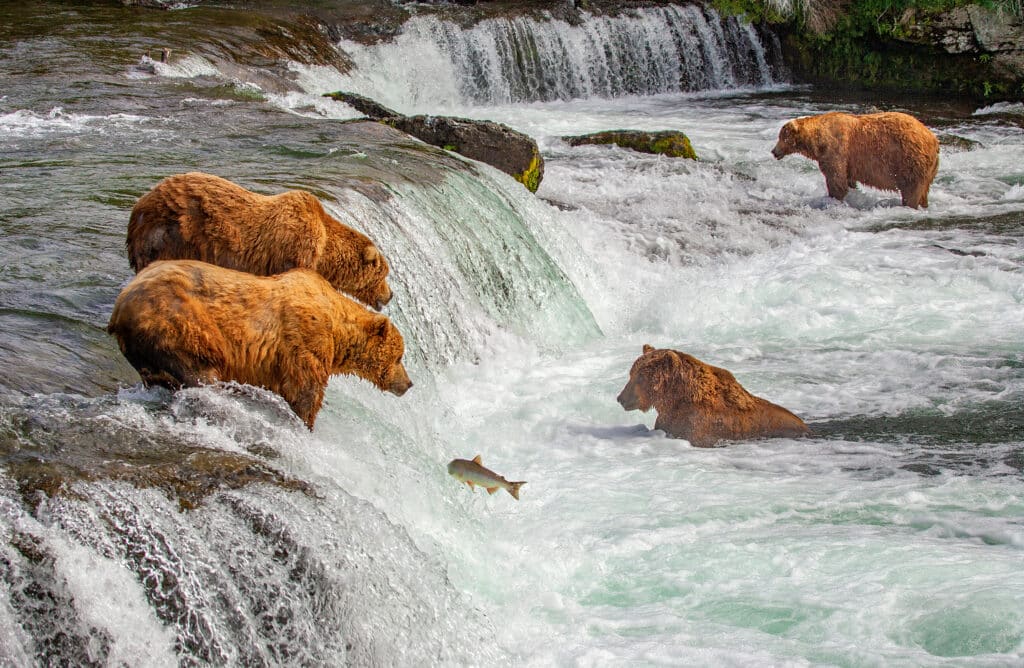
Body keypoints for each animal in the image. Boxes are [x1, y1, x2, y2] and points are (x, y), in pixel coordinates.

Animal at [107, 259, 412, 430]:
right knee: (198, 371)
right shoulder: (304, 341)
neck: (338, 333)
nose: (408, 383)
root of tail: (120, 308)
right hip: (179, 325)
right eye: (399, 356)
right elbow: (305, 393)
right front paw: (306, 424)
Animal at [126, 172, 393, 310]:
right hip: (177, 233)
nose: (389, 295)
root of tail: (140, 205)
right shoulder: (294, 248)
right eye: (383, 275)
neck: (325, 250)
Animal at [771, 111, 939, 209]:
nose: (774, 151)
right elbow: (848, 180)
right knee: (923, 192)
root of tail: (933, 139)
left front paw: (833, 197)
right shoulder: (848, 163)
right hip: (926, 169)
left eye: (781, 137)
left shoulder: (836, 150)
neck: (817, 142)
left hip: (910, 160)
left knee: (911, 190)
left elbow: (836, 180)